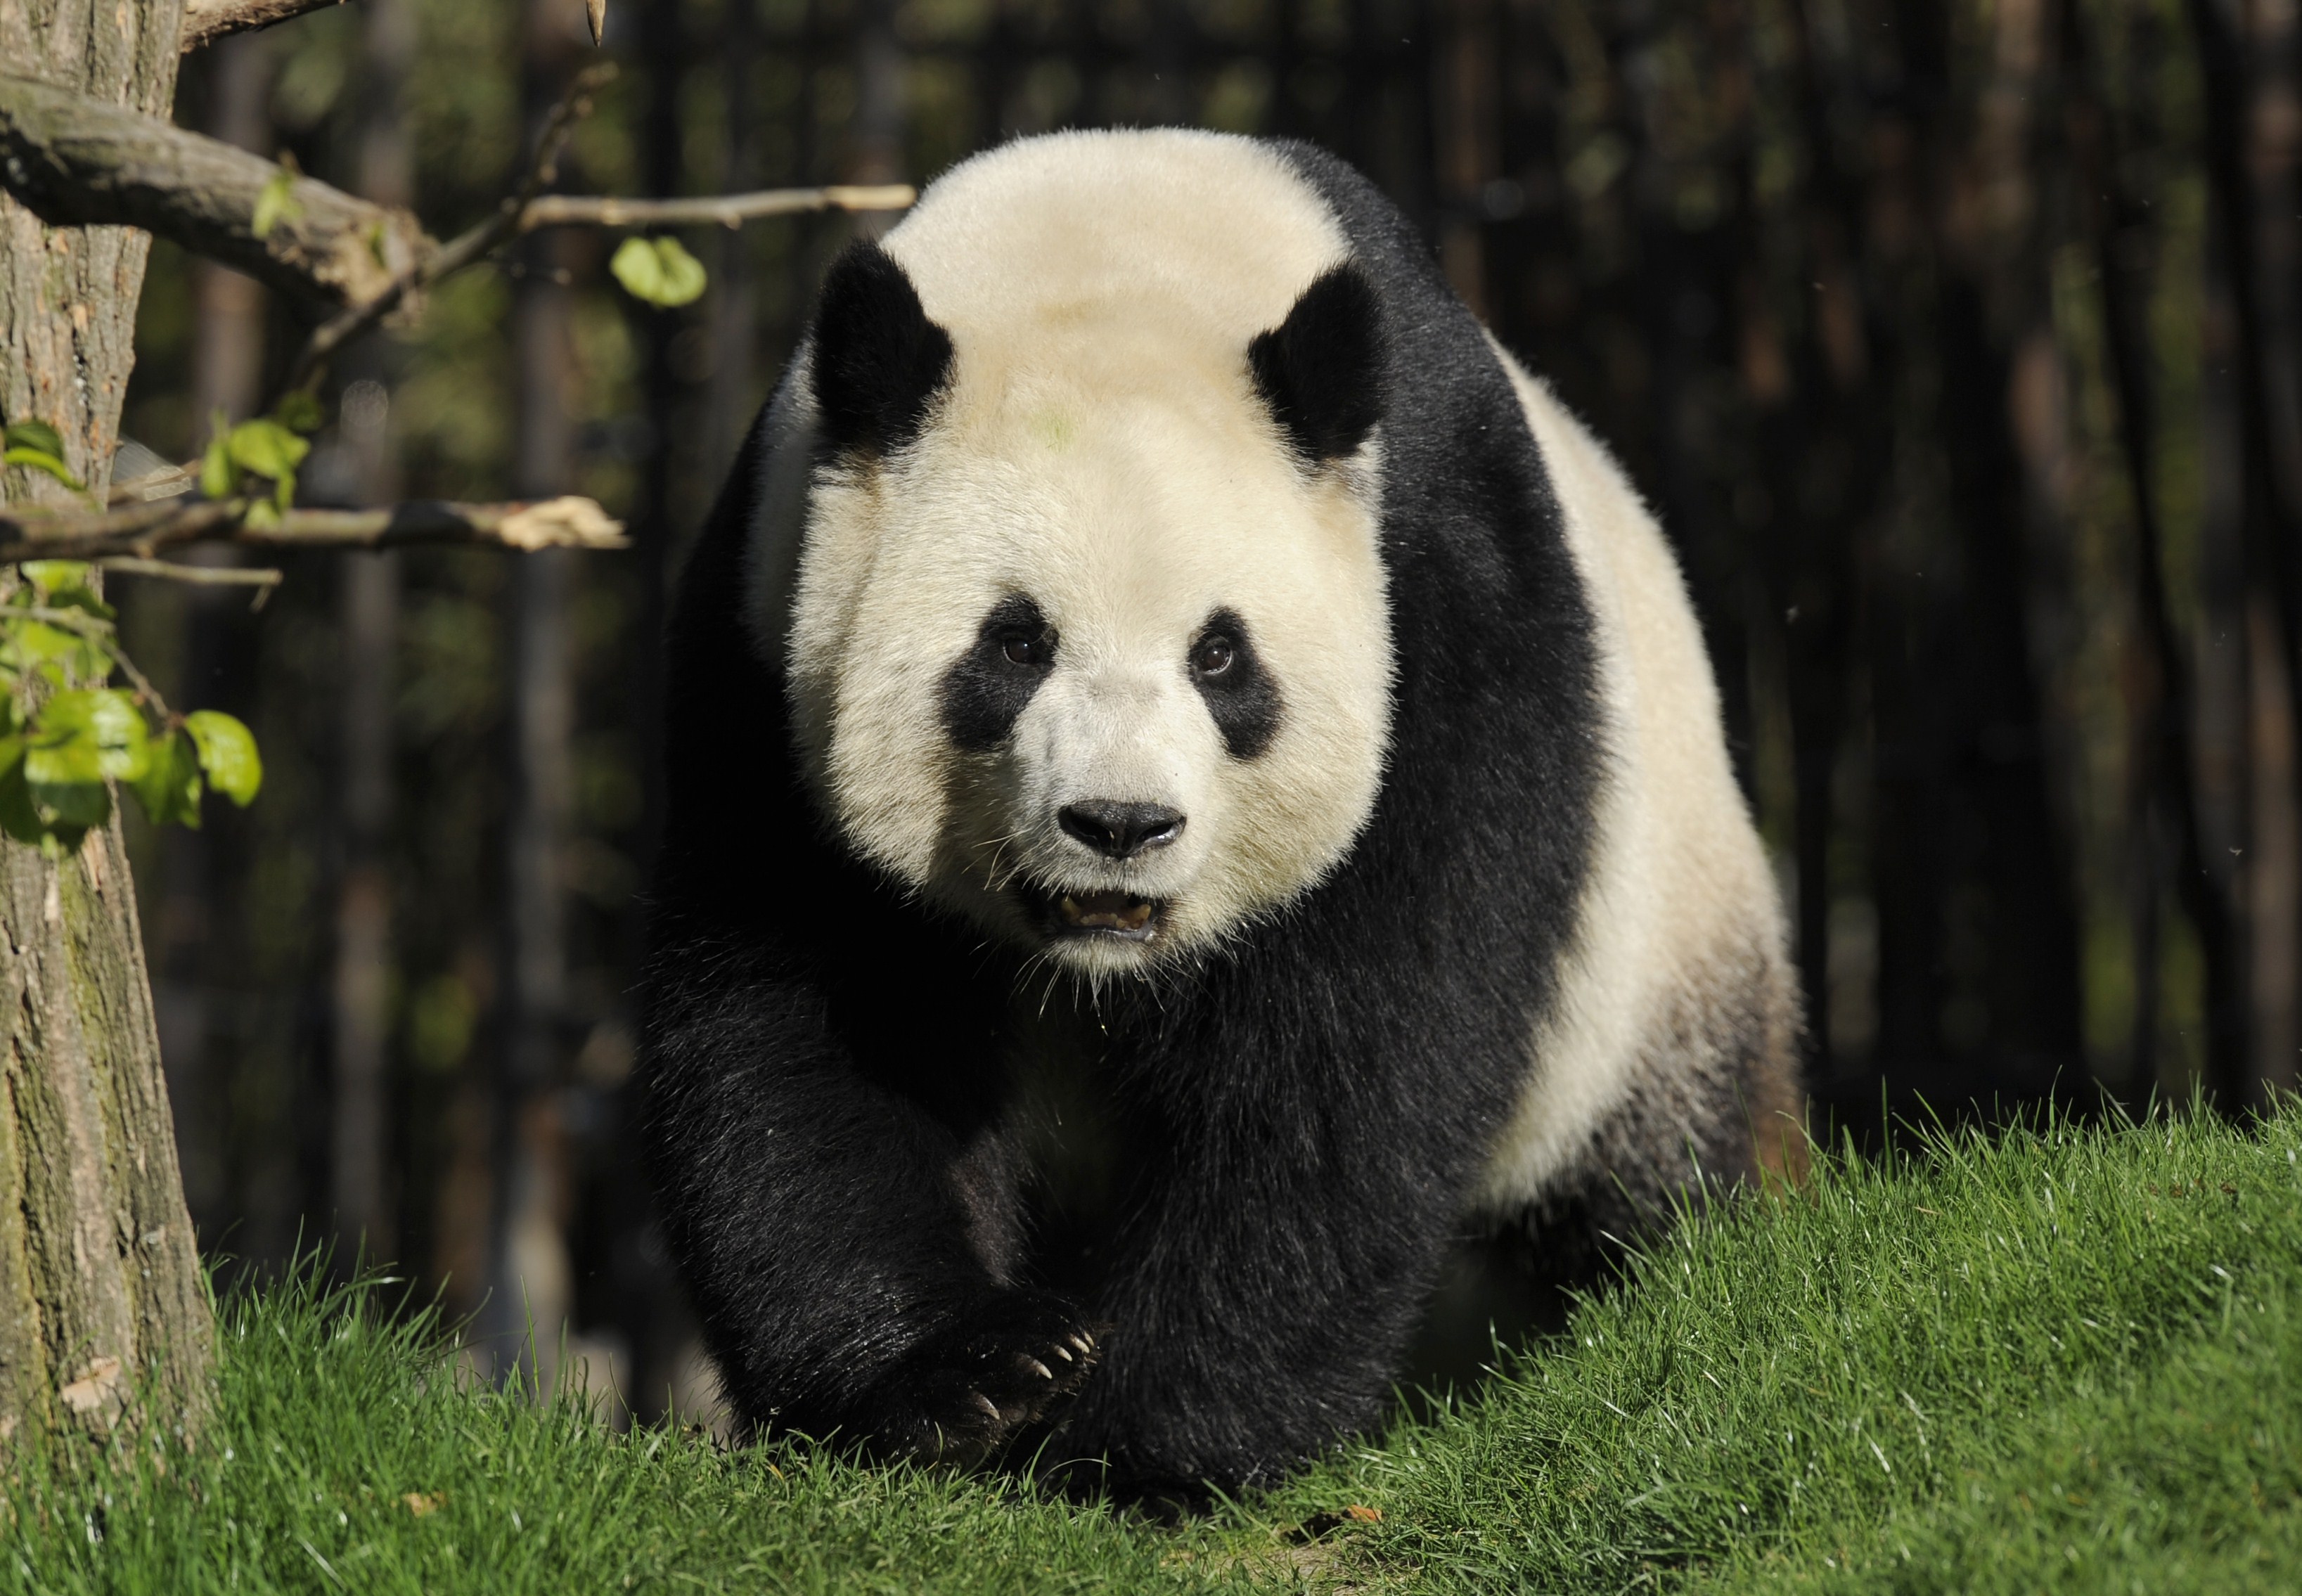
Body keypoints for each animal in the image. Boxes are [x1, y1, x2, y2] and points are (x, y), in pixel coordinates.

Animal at [640, 124, 1804, 1492]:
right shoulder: (760, 645)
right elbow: (811, 1022)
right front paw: (965, 1377)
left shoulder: (1441, 607)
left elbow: (1359, 1043)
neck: (1117, 238)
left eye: (1219, 657)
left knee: (1657, 1169)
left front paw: (1153, 1436)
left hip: (1658, 939)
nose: (1117, 825)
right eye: (1014, 643)